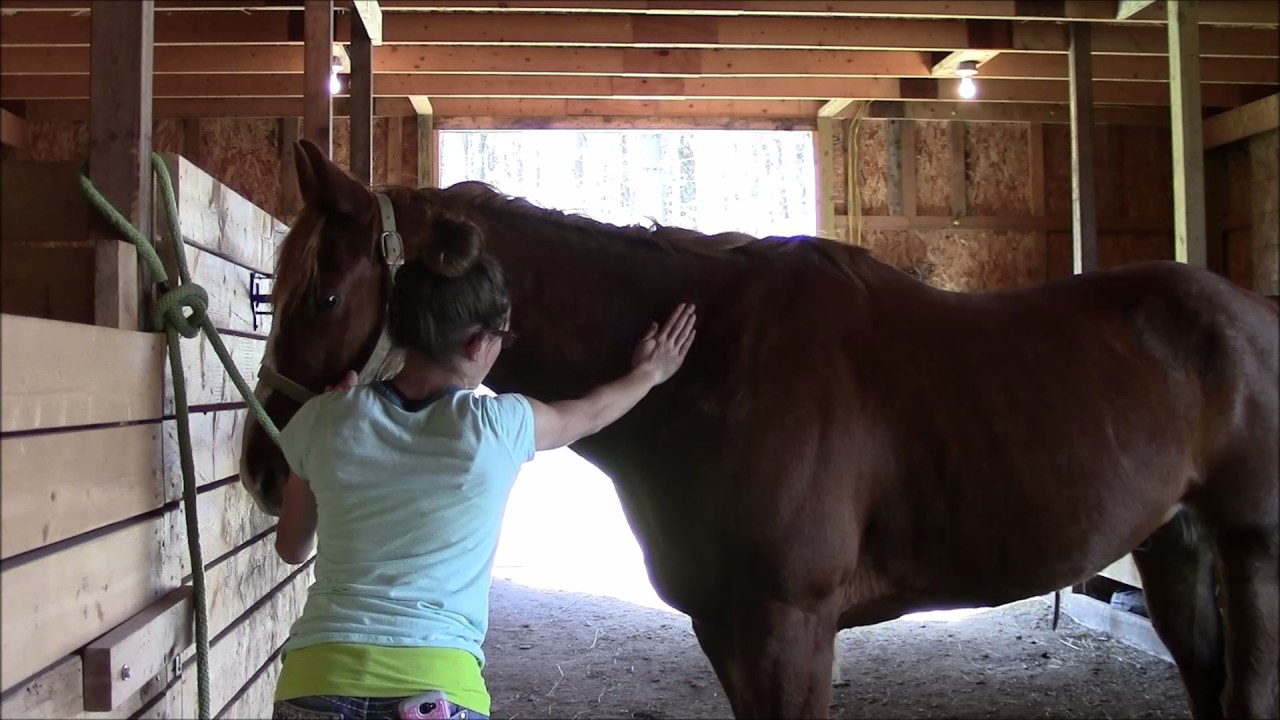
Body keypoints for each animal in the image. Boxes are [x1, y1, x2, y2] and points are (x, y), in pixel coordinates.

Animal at [240, 139, 1279, 720]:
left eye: (323, 295)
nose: (262, 469)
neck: (714, 369)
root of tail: (1247, 311)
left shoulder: (790, 625)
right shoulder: (727, 625)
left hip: (1249, 546)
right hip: (1173, 544)